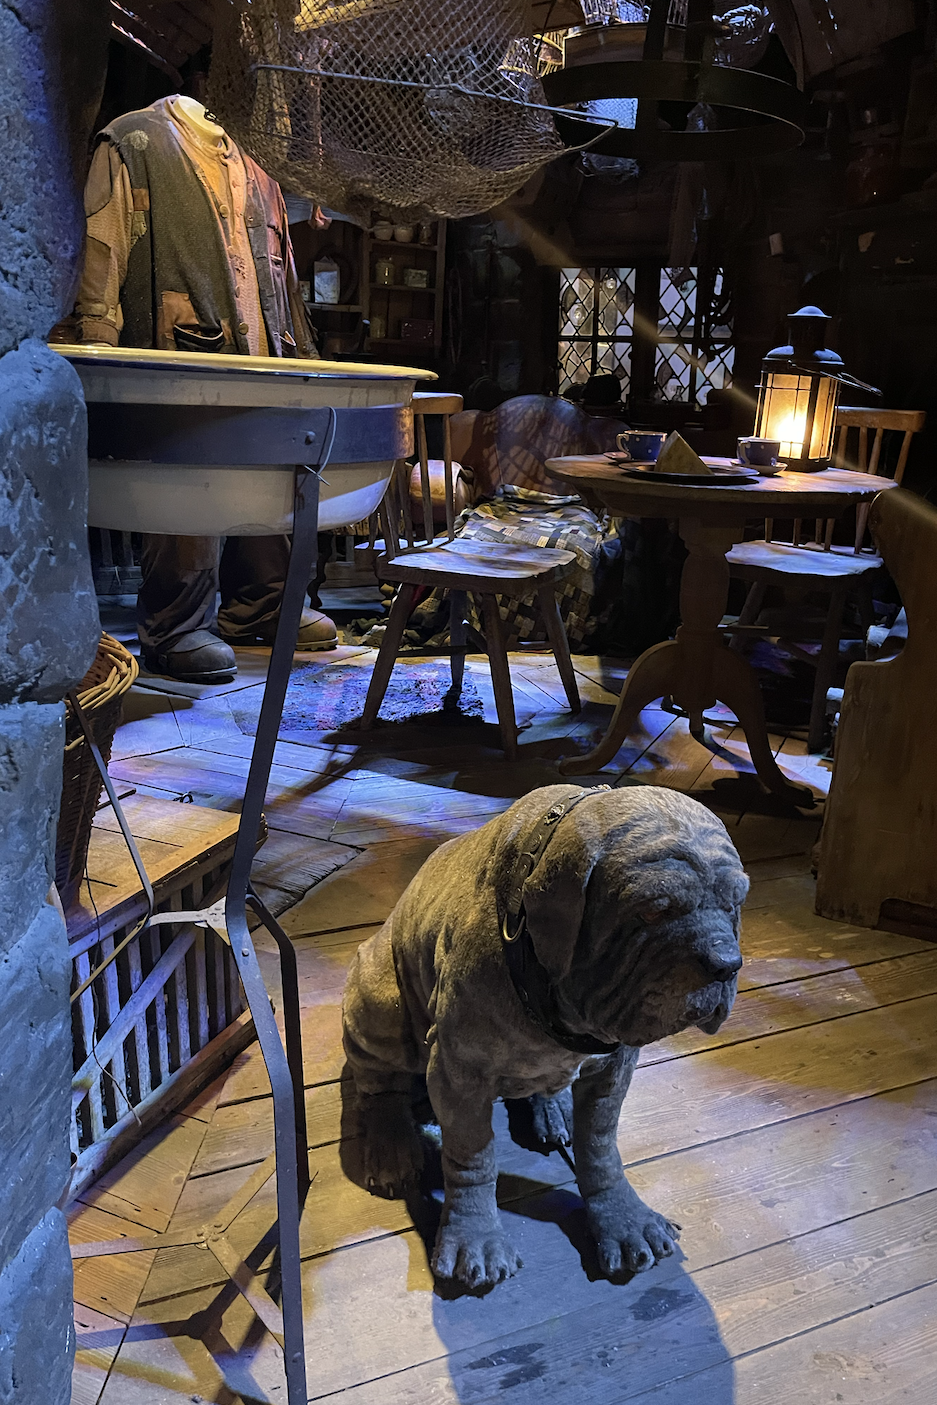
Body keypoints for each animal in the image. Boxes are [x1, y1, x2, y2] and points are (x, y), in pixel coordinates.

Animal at [342, 786, 747, 1286]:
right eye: (654, 909)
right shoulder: (459, 1075)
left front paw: (623, 1219)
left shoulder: (613, 1069)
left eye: (736, 903)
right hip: (378, 996)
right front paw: (475, 1237)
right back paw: (392, 1148)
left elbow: (600, 1147)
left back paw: (550, 1110)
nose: (726, 964)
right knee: (379, 1084)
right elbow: (472, 1159)